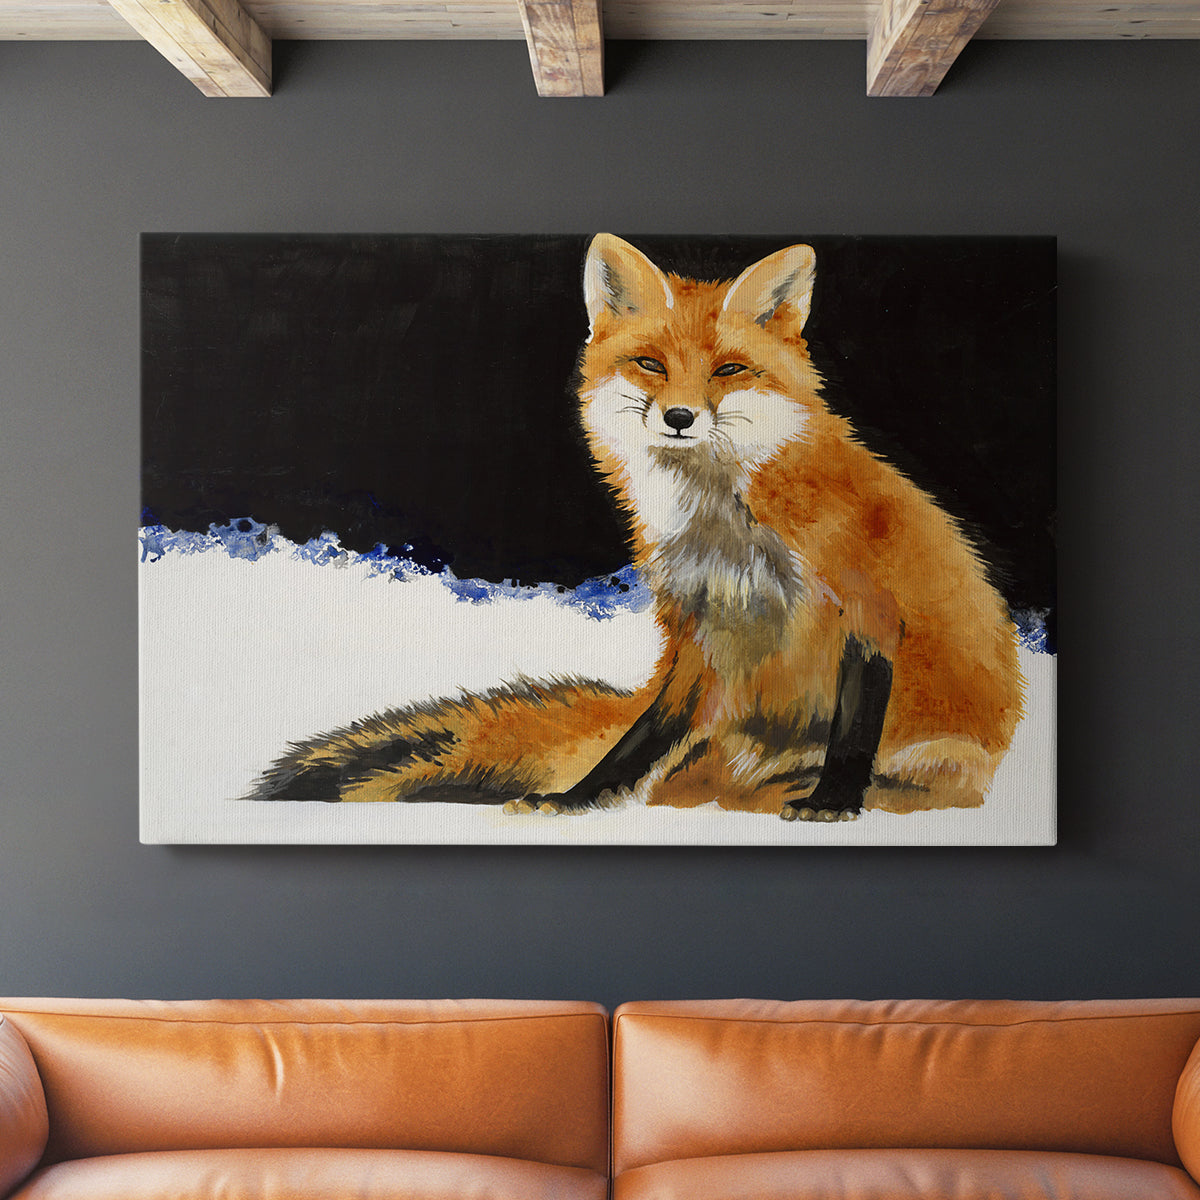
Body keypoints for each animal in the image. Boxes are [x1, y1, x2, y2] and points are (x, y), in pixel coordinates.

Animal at [247, 235, 1025, 821]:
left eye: (729, 370)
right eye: (651, 363)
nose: (679, 417)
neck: (726, 526)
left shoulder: (867, 607)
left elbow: (854, 728)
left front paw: (833, 801)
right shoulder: (696, 629)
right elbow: (641, 737)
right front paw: (579, 798)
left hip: (940, 759)